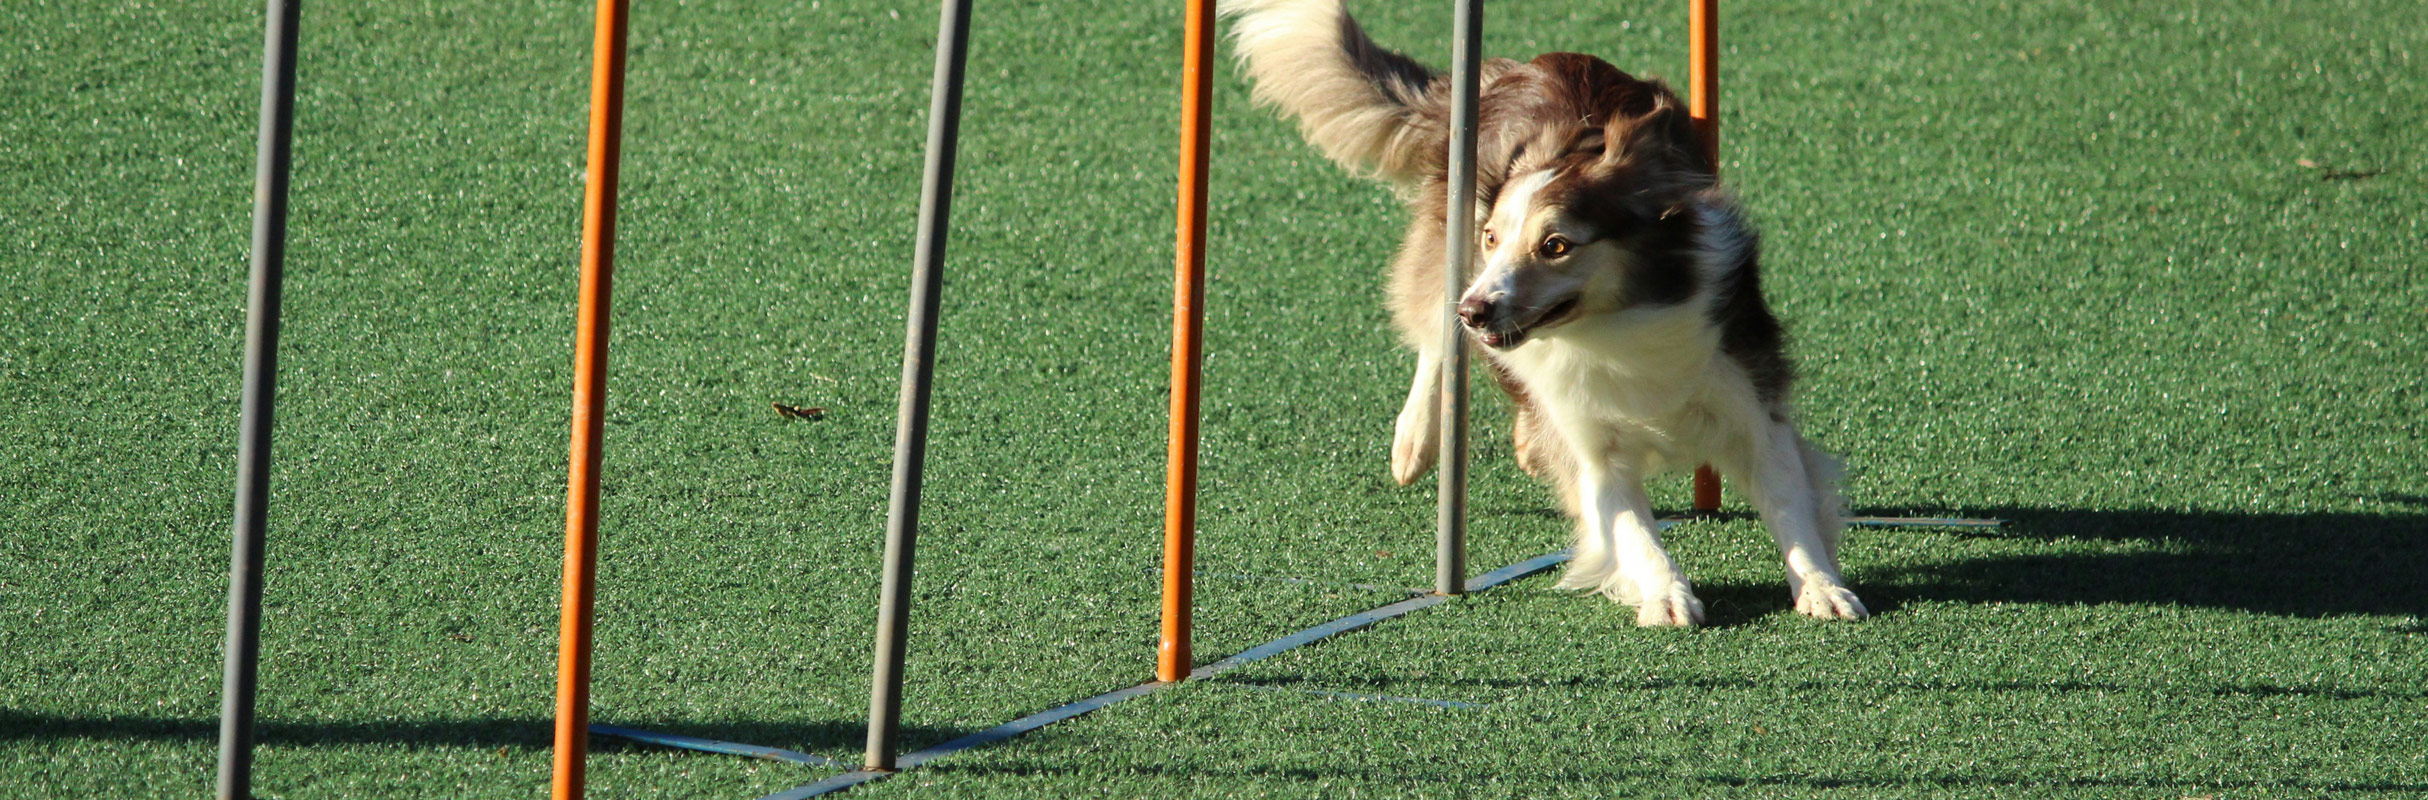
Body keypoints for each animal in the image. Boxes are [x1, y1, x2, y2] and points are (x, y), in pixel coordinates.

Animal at [1223, 0, 1864, 622]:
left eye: (1556, 245)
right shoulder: (1590, 442)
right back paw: (1416, 440)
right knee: (1432, 328)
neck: (1616, 327)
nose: (1475, 312)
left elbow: (1788, 501)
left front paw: (1822, 587)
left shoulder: (1750, 398)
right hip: (1448, 244)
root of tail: (1516, 67)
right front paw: (1665, 595)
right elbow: (1633, 530)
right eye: (1492, 238)